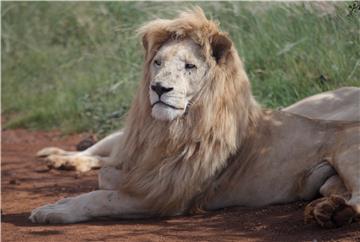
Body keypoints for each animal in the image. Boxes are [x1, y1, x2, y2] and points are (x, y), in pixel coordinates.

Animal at [28, 7, 360, 227]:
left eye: (189, 66)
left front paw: (53, 210)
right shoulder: (140, 170)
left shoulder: (167, 196)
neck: (171, 130)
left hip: (347, 155)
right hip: (330, 181)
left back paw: (332, 213)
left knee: (357, 202)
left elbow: (99, 197)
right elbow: (104, 179)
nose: (158, 88)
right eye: (158, 62)